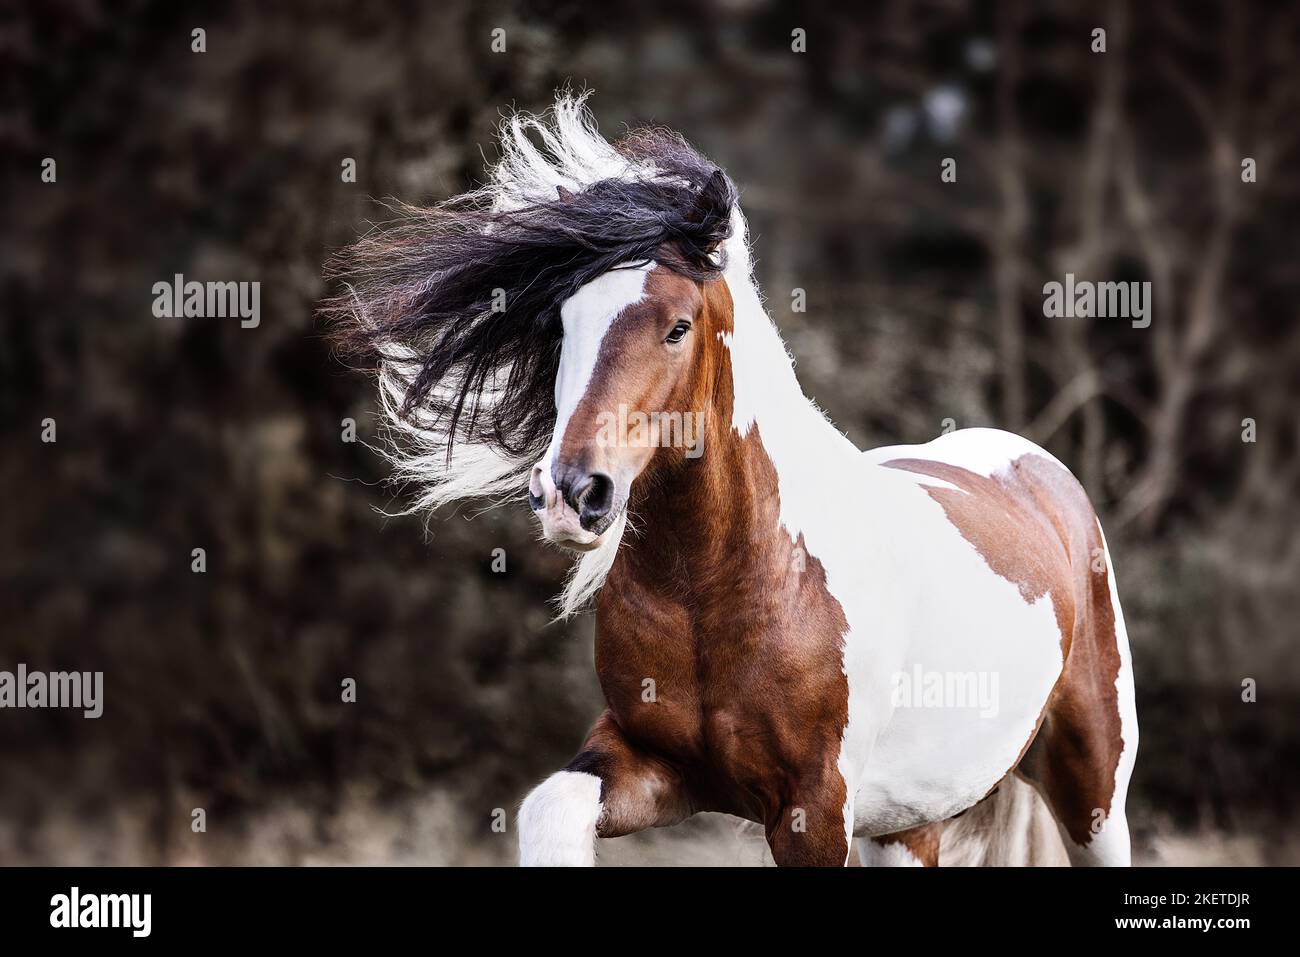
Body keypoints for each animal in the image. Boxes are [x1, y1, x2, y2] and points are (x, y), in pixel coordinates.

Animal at [327, 95, 1138, 868]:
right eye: (561, 324)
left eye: (678, 326)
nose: (571, 494)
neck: (725, 584)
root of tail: (1034, 470)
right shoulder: (649, 763)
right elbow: (549, 811)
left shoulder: (813, 808)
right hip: (910, 822)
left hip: (1093, 788)